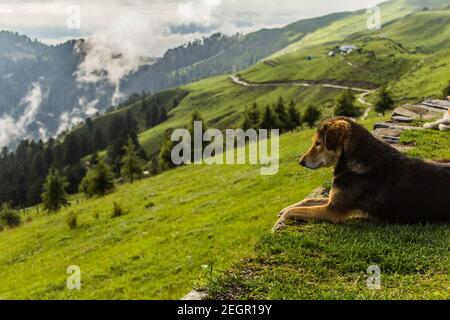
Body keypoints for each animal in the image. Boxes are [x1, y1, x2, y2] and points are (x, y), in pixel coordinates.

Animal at [272, 116, 450, 231]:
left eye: (318, 143)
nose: (301, 162)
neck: (352, 159)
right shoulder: (332, 200)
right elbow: (308, 200)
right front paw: (286, 208)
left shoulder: (332, 210)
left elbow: (296, 211)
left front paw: (282, 217)